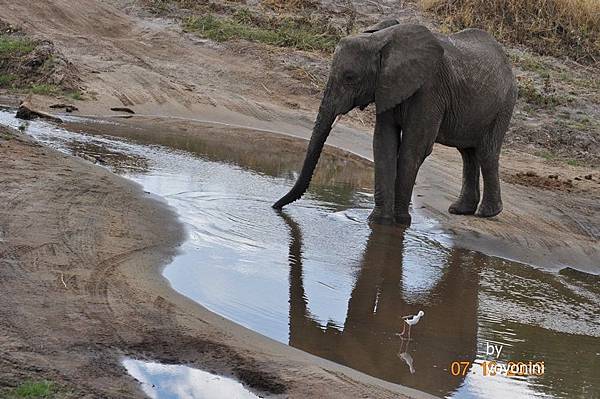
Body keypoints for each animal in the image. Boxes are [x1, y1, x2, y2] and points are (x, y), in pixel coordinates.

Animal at [274, 20, 516, 227]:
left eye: (350, 77)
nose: (275, 207)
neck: (380, 40)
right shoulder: (387, 87)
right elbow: (384, 142)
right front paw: (378, 221)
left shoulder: (429, 90)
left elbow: (413, 148)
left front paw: (399, 223)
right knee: (467, 153)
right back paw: (460, 210)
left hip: (504, 105)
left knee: (485, 152)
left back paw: (487, 213)